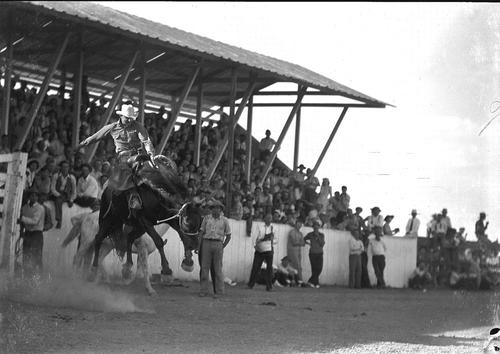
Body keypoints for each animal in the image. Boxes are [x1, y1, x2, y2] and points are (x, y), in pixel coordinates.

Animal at [87, 153, 201, 292]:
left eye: (200, 221)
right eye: (188, 222)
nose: (195, 245)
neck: (157, 194)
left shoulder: (168, 217)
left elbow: (181, 233)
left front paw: (188, 262)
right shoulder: (145, 221)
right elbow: (158, 241)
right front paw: (167, 271)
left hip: (135, 227)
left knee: (129, 238)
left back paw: (127, 268)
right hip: (107, 221)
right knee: (98, 239)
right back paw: (93, 270)